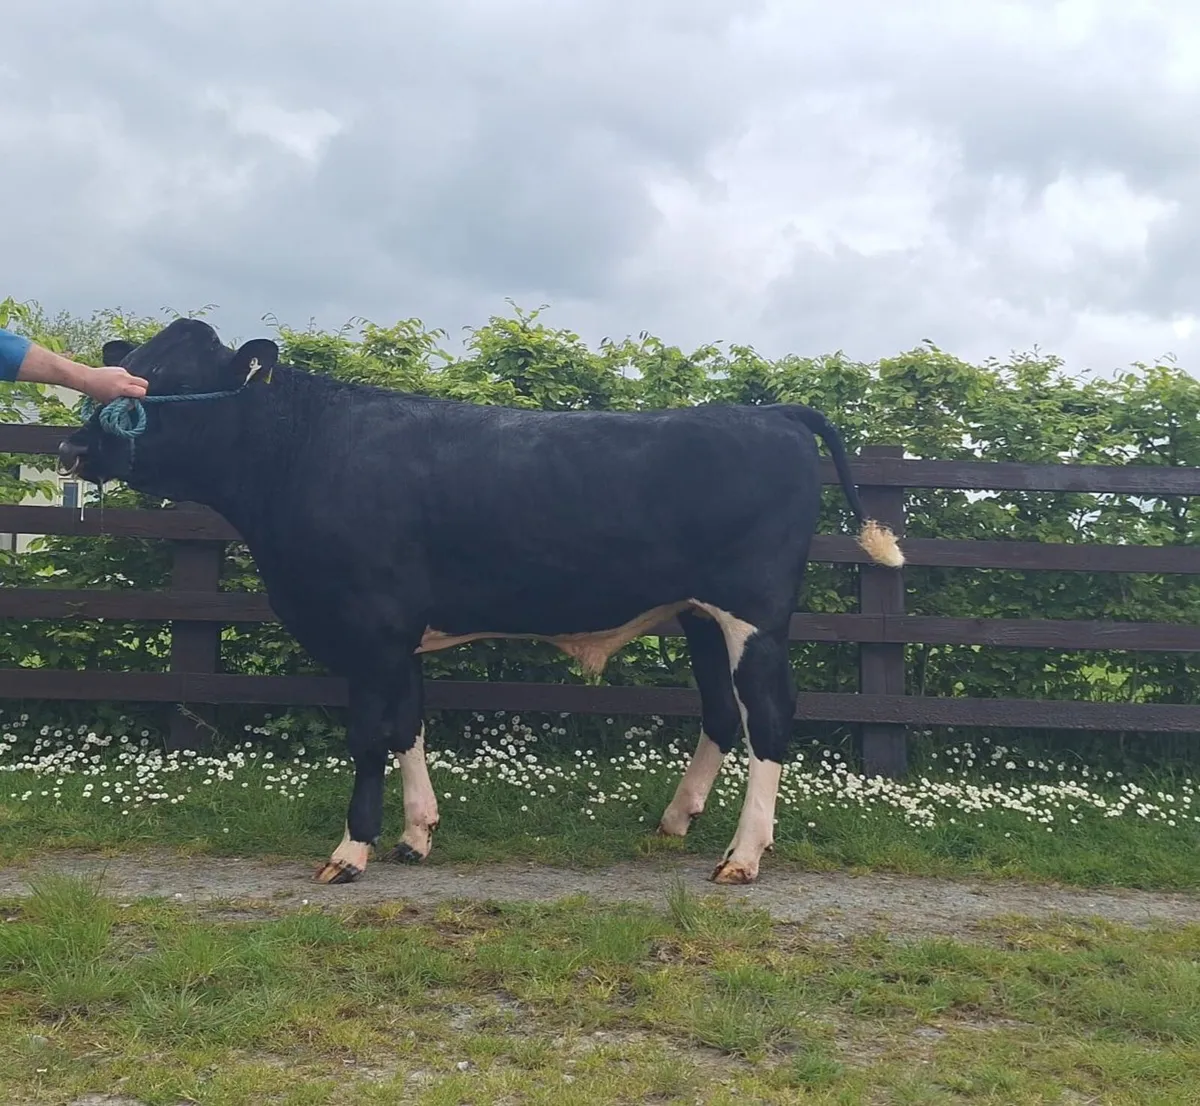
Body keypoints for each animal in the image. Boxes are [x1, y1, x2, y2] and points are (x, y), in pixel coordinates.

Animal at [57, 318, 903, 886]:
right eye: (126, 370)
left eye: (162, 384)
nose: (73, 448)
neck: (303, 453)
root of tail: (770, 412)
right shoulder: (398, 634)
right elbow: (408, 727)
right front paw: (416, 835)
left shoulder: (369, 627)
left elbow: (368, 737)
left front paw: (350, 852)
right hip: (698, 613)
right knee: (722, 715)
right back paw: (675, 821)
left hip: (753, 613)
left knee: (770, 718)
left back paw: (744, 855)